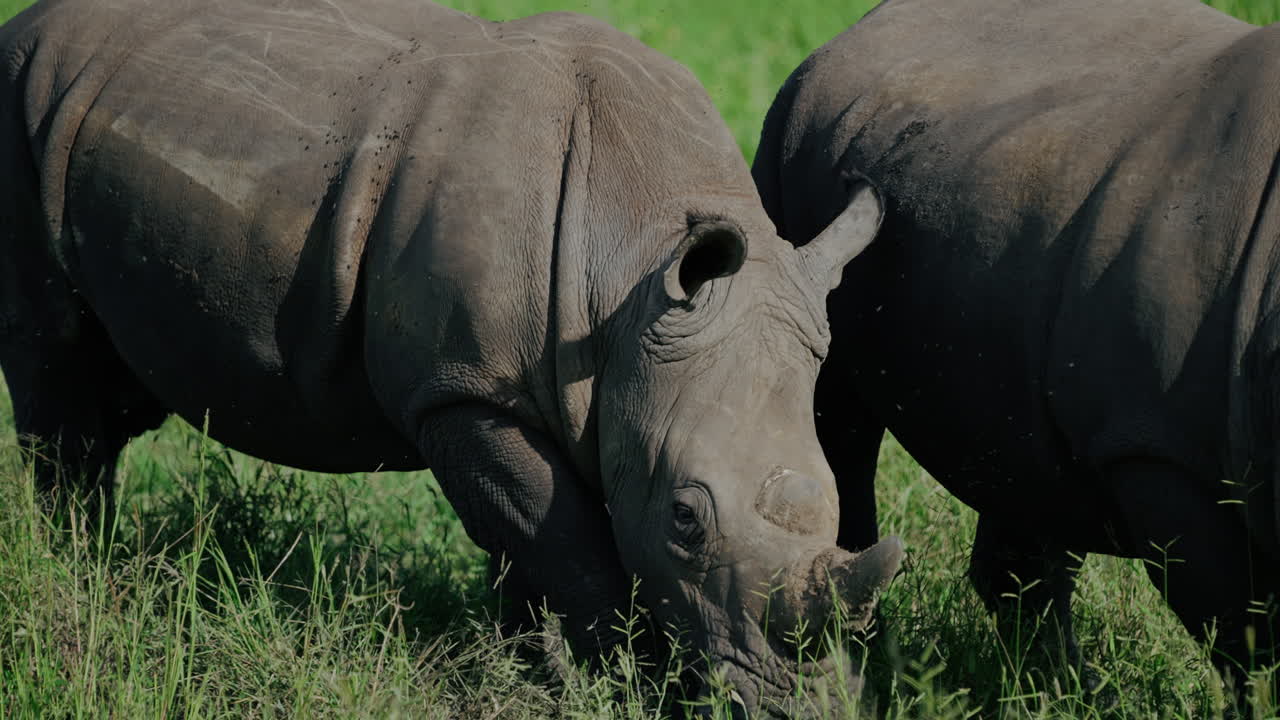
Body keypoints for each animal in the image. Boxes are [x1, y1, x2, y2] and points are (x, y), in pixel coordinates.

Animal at [0, 0, 907, 710]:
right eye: (685, 519)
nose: (795, 701)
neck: (629, 273)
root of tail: (27, 23)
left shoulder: (539, 388)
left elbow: (523, 545)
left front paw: (536, 679)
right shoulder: (463, 391)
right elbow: (565, 543)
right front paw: (629, 684)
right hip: (22, 101)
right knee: (57, 385)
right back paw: (82, 586)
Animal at [754, 0, 1280, 689]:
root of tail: (848, 34)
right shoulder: (1161, 453)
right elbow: (1243, 636)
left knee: (1025, 465)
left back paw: (1057, 691)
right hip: (788, 177)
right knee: (835, 420)